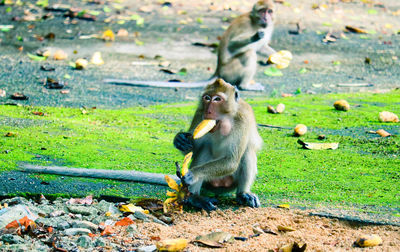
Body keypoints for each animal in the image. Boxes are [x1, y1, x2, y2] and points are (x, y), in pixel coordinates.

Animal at [104, 0, 276, 91]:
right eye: (262, 11)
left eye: (270, 11)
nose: (266, 18)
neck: (256, 21)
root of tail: (218, 71)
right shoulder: (247, 26)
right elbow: (233, 44)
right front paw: (256, 36)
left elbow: (263, 47)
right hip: (231, 70)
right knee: (249, 54)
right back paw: (246, 85)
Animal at [173, 78, 262, 210]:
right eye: (207, 98)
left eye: (217, 99)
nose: (208, 111)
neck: (224, 120)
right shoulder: (199, 114)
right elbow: (193, 150)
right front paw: (180, 140)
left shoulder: (243, 119)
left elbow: (231, 161)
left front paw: (194, 174)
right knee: (205, 150)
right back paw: (195, 198)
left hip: (230, 181)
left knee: (247, 152)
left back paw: (243, 193)